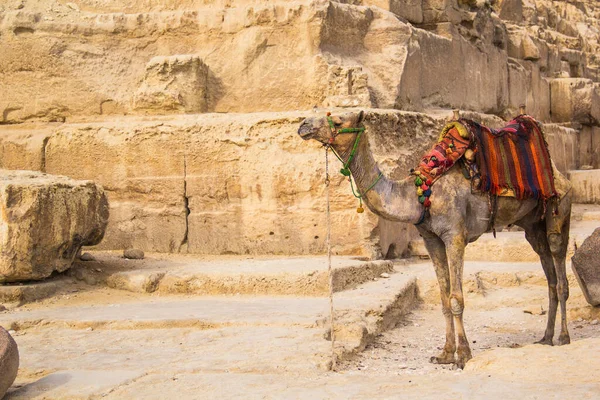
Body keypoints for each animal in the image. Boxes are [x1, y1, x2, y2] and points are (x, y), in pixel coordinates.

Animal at [298, 110, 572, 368]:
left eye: (339, 120)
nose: (303, 125)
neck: (419, 194)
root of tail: (560, 174)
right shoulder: (431, 239)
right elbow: (443, 298)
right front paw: (445, 354)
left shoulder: (454, 235)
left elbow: (456, 299)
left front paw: (463, 356)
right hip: (532, 223)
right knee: (545, 263)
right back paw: (546, 337)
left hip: (559, 206)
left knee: (558, 265)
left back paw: (563, 337)